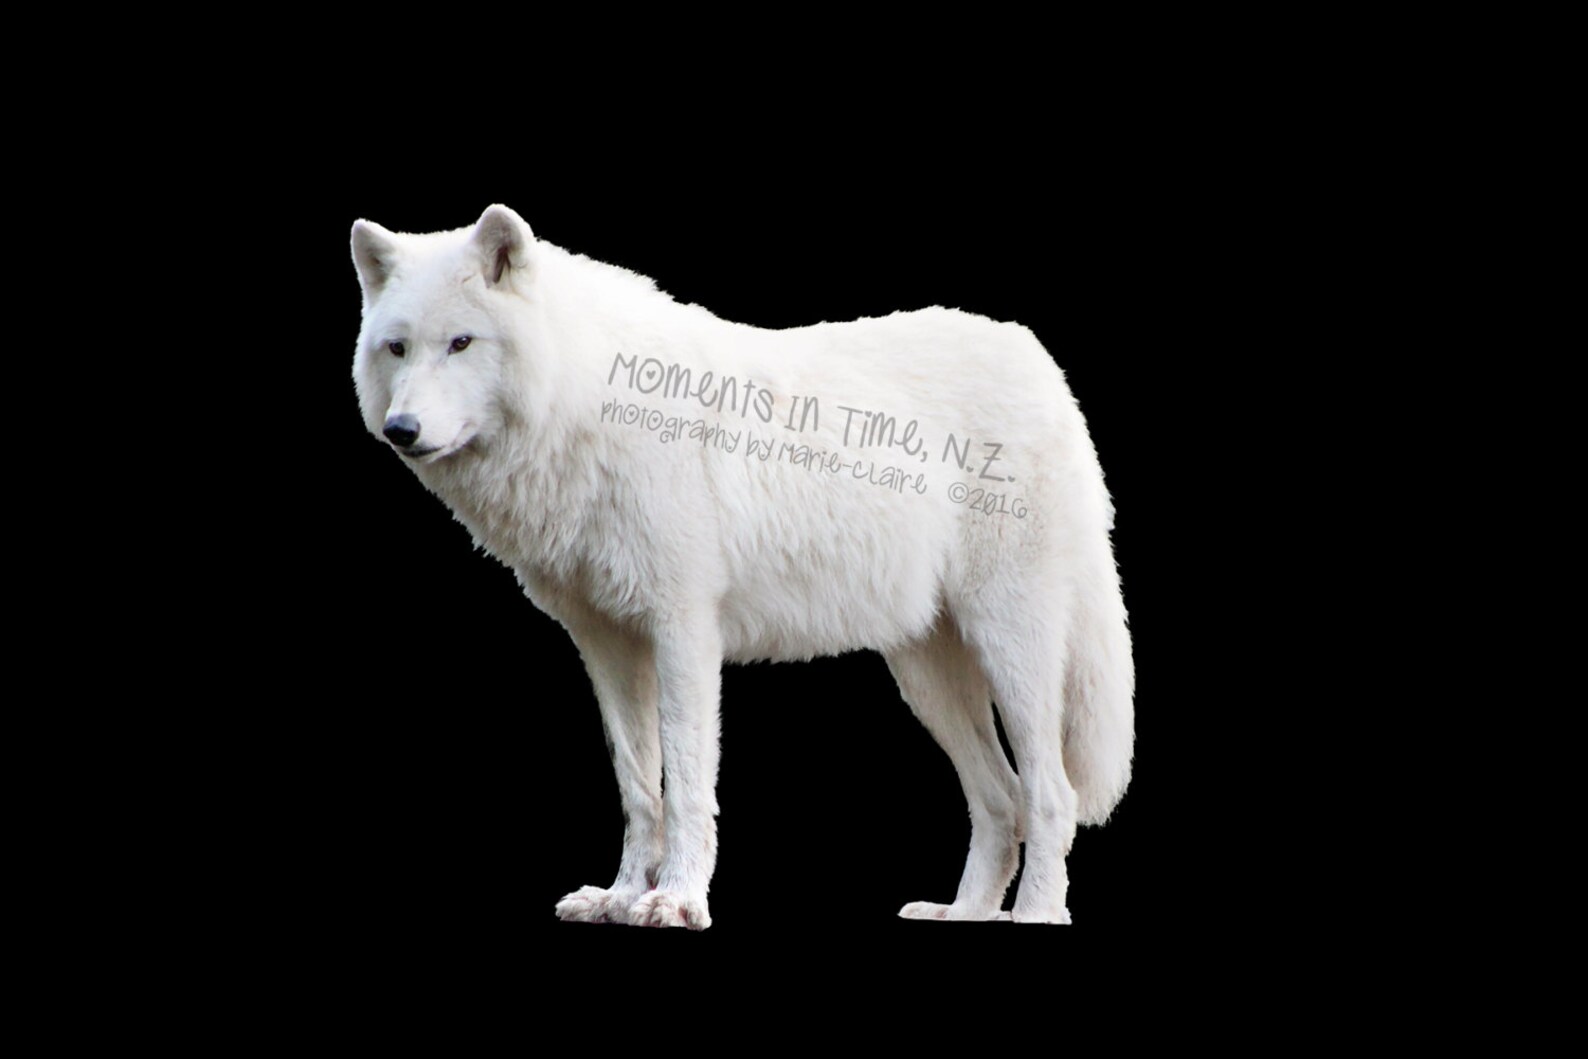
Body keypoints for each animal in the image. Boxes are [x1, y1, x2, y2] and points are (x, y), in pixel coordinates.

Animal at [350, 205, 1134, 929]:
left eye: (461, 343)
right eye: (397, 348)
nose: (401, 430)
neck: (585, 403)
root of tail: (1037, 358)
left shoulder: (684, 630)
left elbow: (688, 783)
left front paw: (677, 900)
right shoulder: (606, 643)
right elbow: (639, 786)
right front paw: (622, 897)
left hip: (1011, 649)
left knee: (1051, 793)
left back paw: (1036, 915)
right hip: (925, 675)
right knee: (1001, 800)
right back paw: (964, 912)